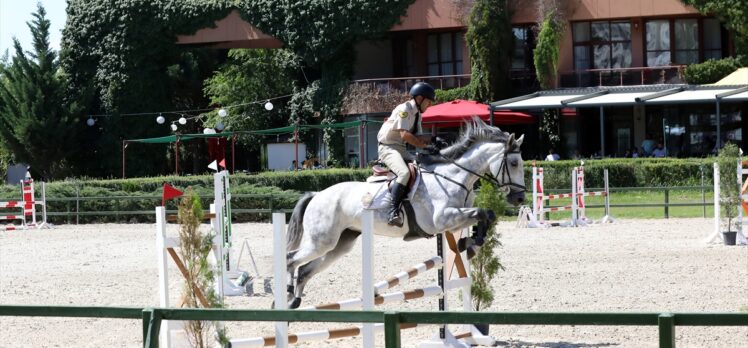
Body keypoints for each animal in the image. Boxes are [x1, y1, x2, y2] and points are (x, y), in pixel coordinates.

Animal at [282, 118, 524, 308]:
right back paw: (286, 293)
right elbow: (483, 212)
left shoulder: (454, 220)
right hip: (321, 241)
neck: (453, 176)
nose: (520, 198)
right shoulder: (442, 219)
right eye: (513, 163)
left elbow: (486, 215)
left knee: (304, 270)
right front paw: (472, 244)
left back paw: (294, 301)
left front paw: (470, 244)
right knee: (291, 259)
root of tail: (317, 194)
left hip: (339, 243)